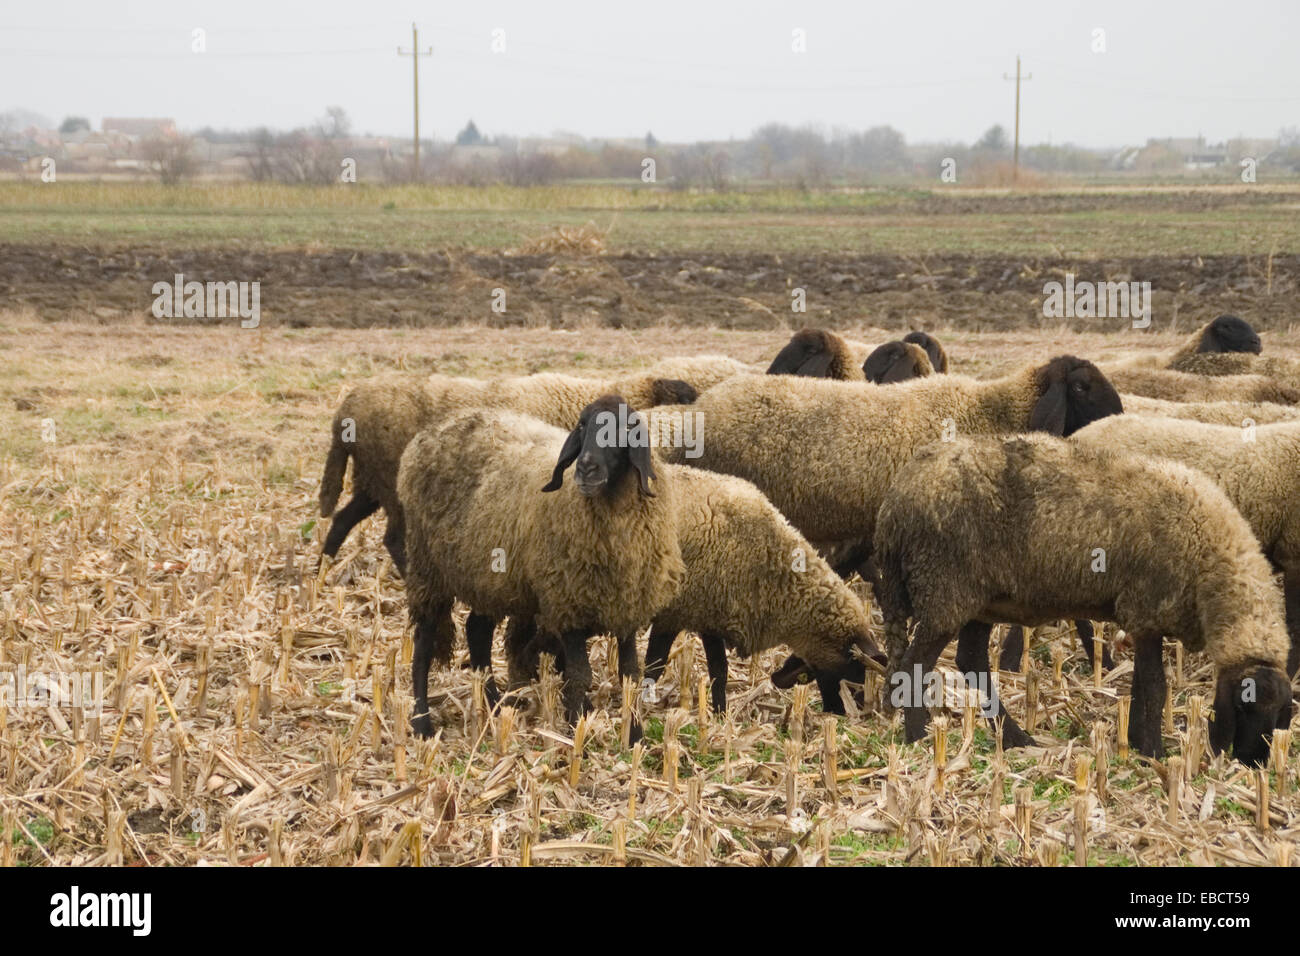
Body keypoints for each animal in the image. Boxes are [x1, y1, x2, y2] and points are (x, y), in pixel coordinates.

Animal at [315, 356, 748, 572]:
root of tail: (345, 409)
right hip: (389, 482)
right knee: (391, 537)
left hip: (372, 480)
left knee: (341, 519)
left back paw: (322, 570)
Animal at [397, 392, 691, 738]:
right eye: (582, 424)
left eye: (625, 428)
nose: (586, 468)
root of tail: (431, 431)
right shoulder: (568, 605)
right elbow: (579, 674)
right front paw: (576, 729)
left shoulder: (627, 608)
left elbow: (630, 675)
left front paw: (634, 736)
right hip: (427, 568)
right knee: (423, 644)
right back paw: (422, 722)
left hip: (487, 575)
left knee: (477, 631)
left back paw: (496, 707)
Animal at [634, 468, 889, 712]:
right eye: (857, 671)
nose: (855, 712)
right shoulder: (673, 613)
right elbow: (655, 665)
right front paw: (640, 706)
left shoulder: (709, 615)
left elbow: (719, 671)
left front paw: (721, 714)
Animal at [873, 434, 1289, 764]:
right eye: (1244, 705)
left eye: (1281, 714)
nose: (1254, 763)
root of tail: (893, 505)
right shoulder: (1147, 606)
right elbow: (1155, 687)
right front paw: (1155, 753)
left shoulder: (1144, 615)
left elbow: (1142, 684)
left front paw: (1137, 743)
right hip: (944, 586)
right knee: (915, 665)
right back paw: (920, 737)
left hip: (977, 597)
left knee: (971, 660)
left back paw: (1014, 738)